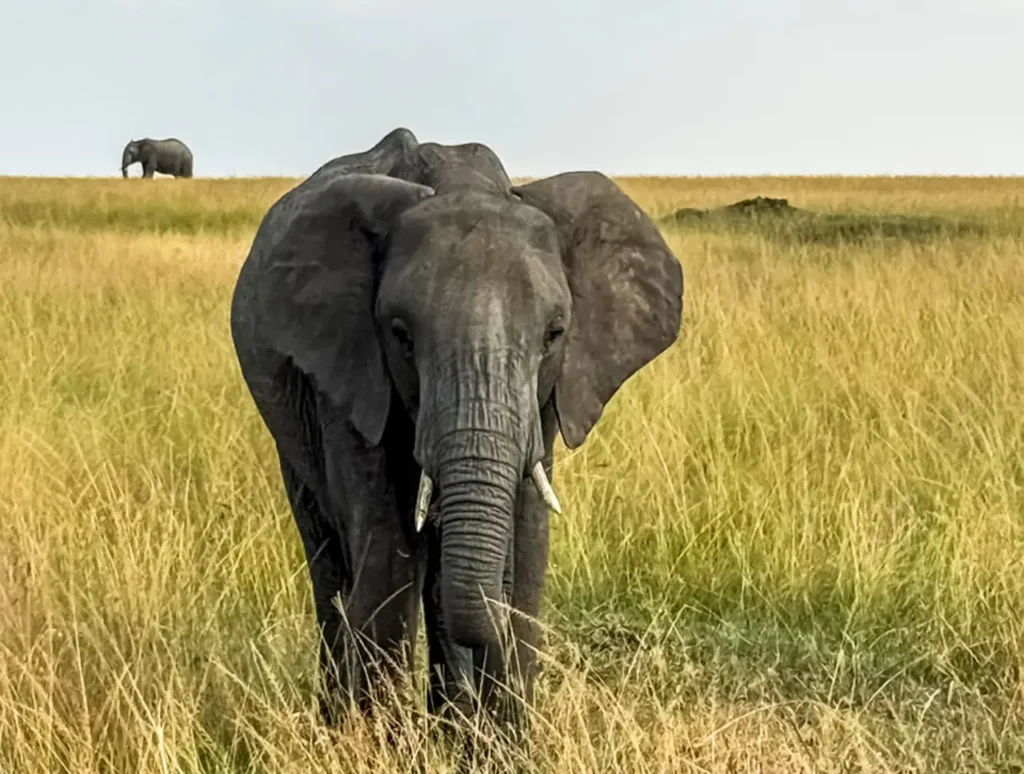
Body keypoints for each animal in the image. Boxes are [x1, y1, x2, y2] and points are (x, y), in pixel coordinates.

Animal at [228, 127, 684, 739]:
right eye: (400, 335)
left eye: (555, 333)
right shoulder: (350, 371)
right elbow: (390, 556)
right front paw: (378, 745)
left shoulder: (548, 395)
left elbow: (525, 546)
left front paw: (498, 747)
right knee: (332, 563)